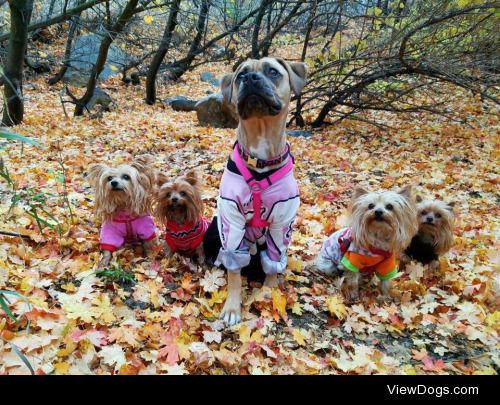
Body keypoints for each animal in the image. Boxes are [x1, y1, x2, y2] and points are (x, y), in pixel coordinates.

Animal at [216, 57, 306, 326]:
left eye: (272, 71)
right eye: (240, 75)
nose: (250, 78)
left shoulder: (282, 222)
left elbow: (274, 261)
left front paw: (269, 293)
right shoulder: (232, 219)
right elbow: (234, 271)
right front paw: (233, 306)